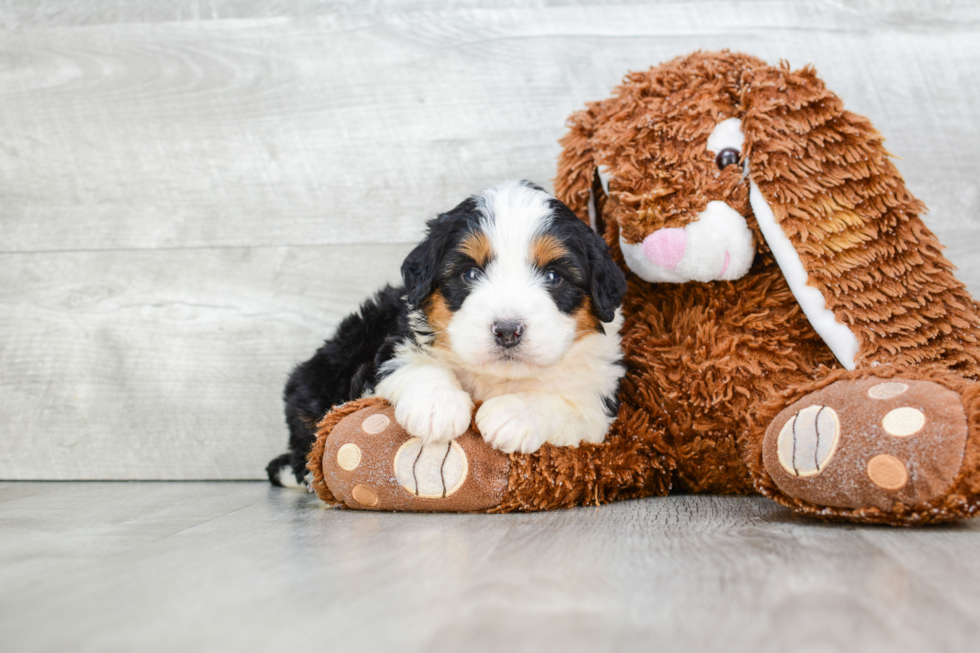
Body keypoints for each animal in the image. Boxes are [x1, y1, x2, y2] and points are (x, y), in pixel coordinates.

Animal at [264, 181, 624, 486]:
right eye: (470, 274)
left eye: (553, 276)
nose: (508, 331)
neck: (497, 377)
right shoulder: (392, 345)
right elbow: (415, 364)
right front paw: (437, 406)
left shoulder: (600, 400)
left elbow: (568, 402)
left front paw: (512, 415)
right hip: (320, 374)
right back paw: (294, 473)